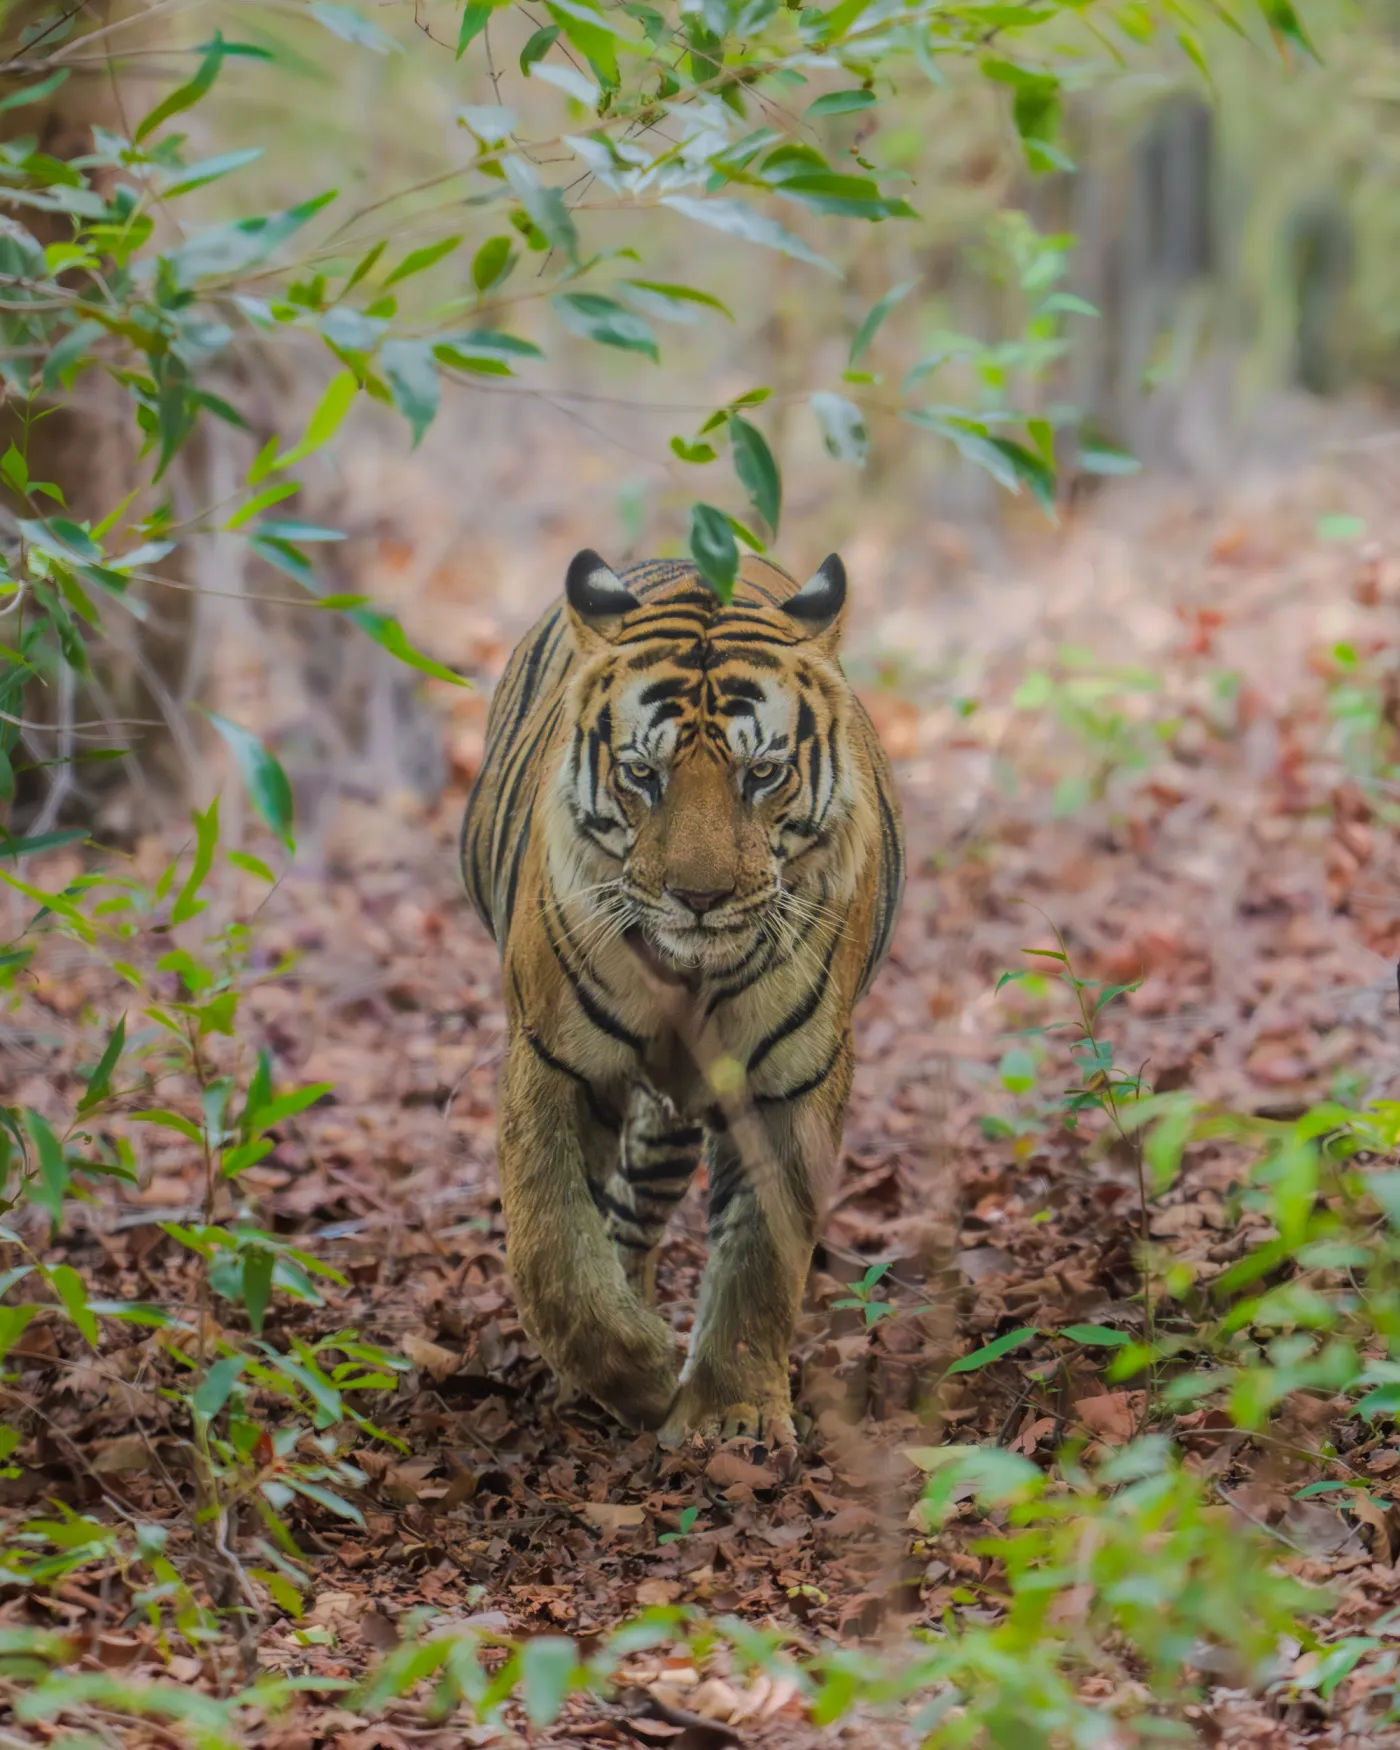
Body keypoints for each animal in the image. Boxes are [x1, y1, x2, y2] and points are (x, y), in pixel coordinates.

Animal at [460, 548, 905, 1450]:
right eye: (643, 774)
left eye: (761, 774)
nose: (699, 898)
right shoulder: (552, 1060)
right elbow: (550, 1250)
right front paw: (637, 1373)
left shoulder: (788, 1086)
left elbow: (762, 1254)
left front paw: (733, 1412)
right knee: (609, 1223)